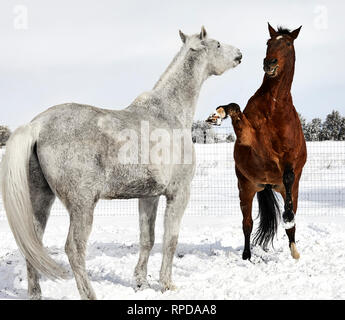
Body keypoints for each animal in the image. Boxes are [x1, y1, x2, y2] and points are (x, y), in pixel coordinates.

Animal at [0, 26, 242, 300]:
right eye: (218, 44)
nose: (239, 54)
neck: (168, 114)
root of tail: (37, 125)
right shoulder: (178, 193)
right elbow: (171, 239)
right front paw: (166, 284)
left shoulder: (149, 196)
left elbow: (147, 238)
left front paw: (140, 282)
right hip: (82, 205)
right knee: (74, 248)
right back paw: (90, 294)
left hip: (42, 198)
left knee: (33, 244)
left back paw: (35, 293)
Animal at [206, 24, 306, 260]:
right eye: (268, 42)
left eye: (288, 43)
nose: (269, 63)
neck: (274, 108)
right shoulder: (249, 140)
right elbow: (234, 108)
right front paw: (217, 115)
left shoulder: (290, 156)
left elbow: (288, 175)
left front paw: (288, 216)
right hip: (246, 187)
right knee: (247, 223)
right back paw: (246, 255)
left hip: (288, 190)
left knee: (291, 224)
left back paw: (294, 248)